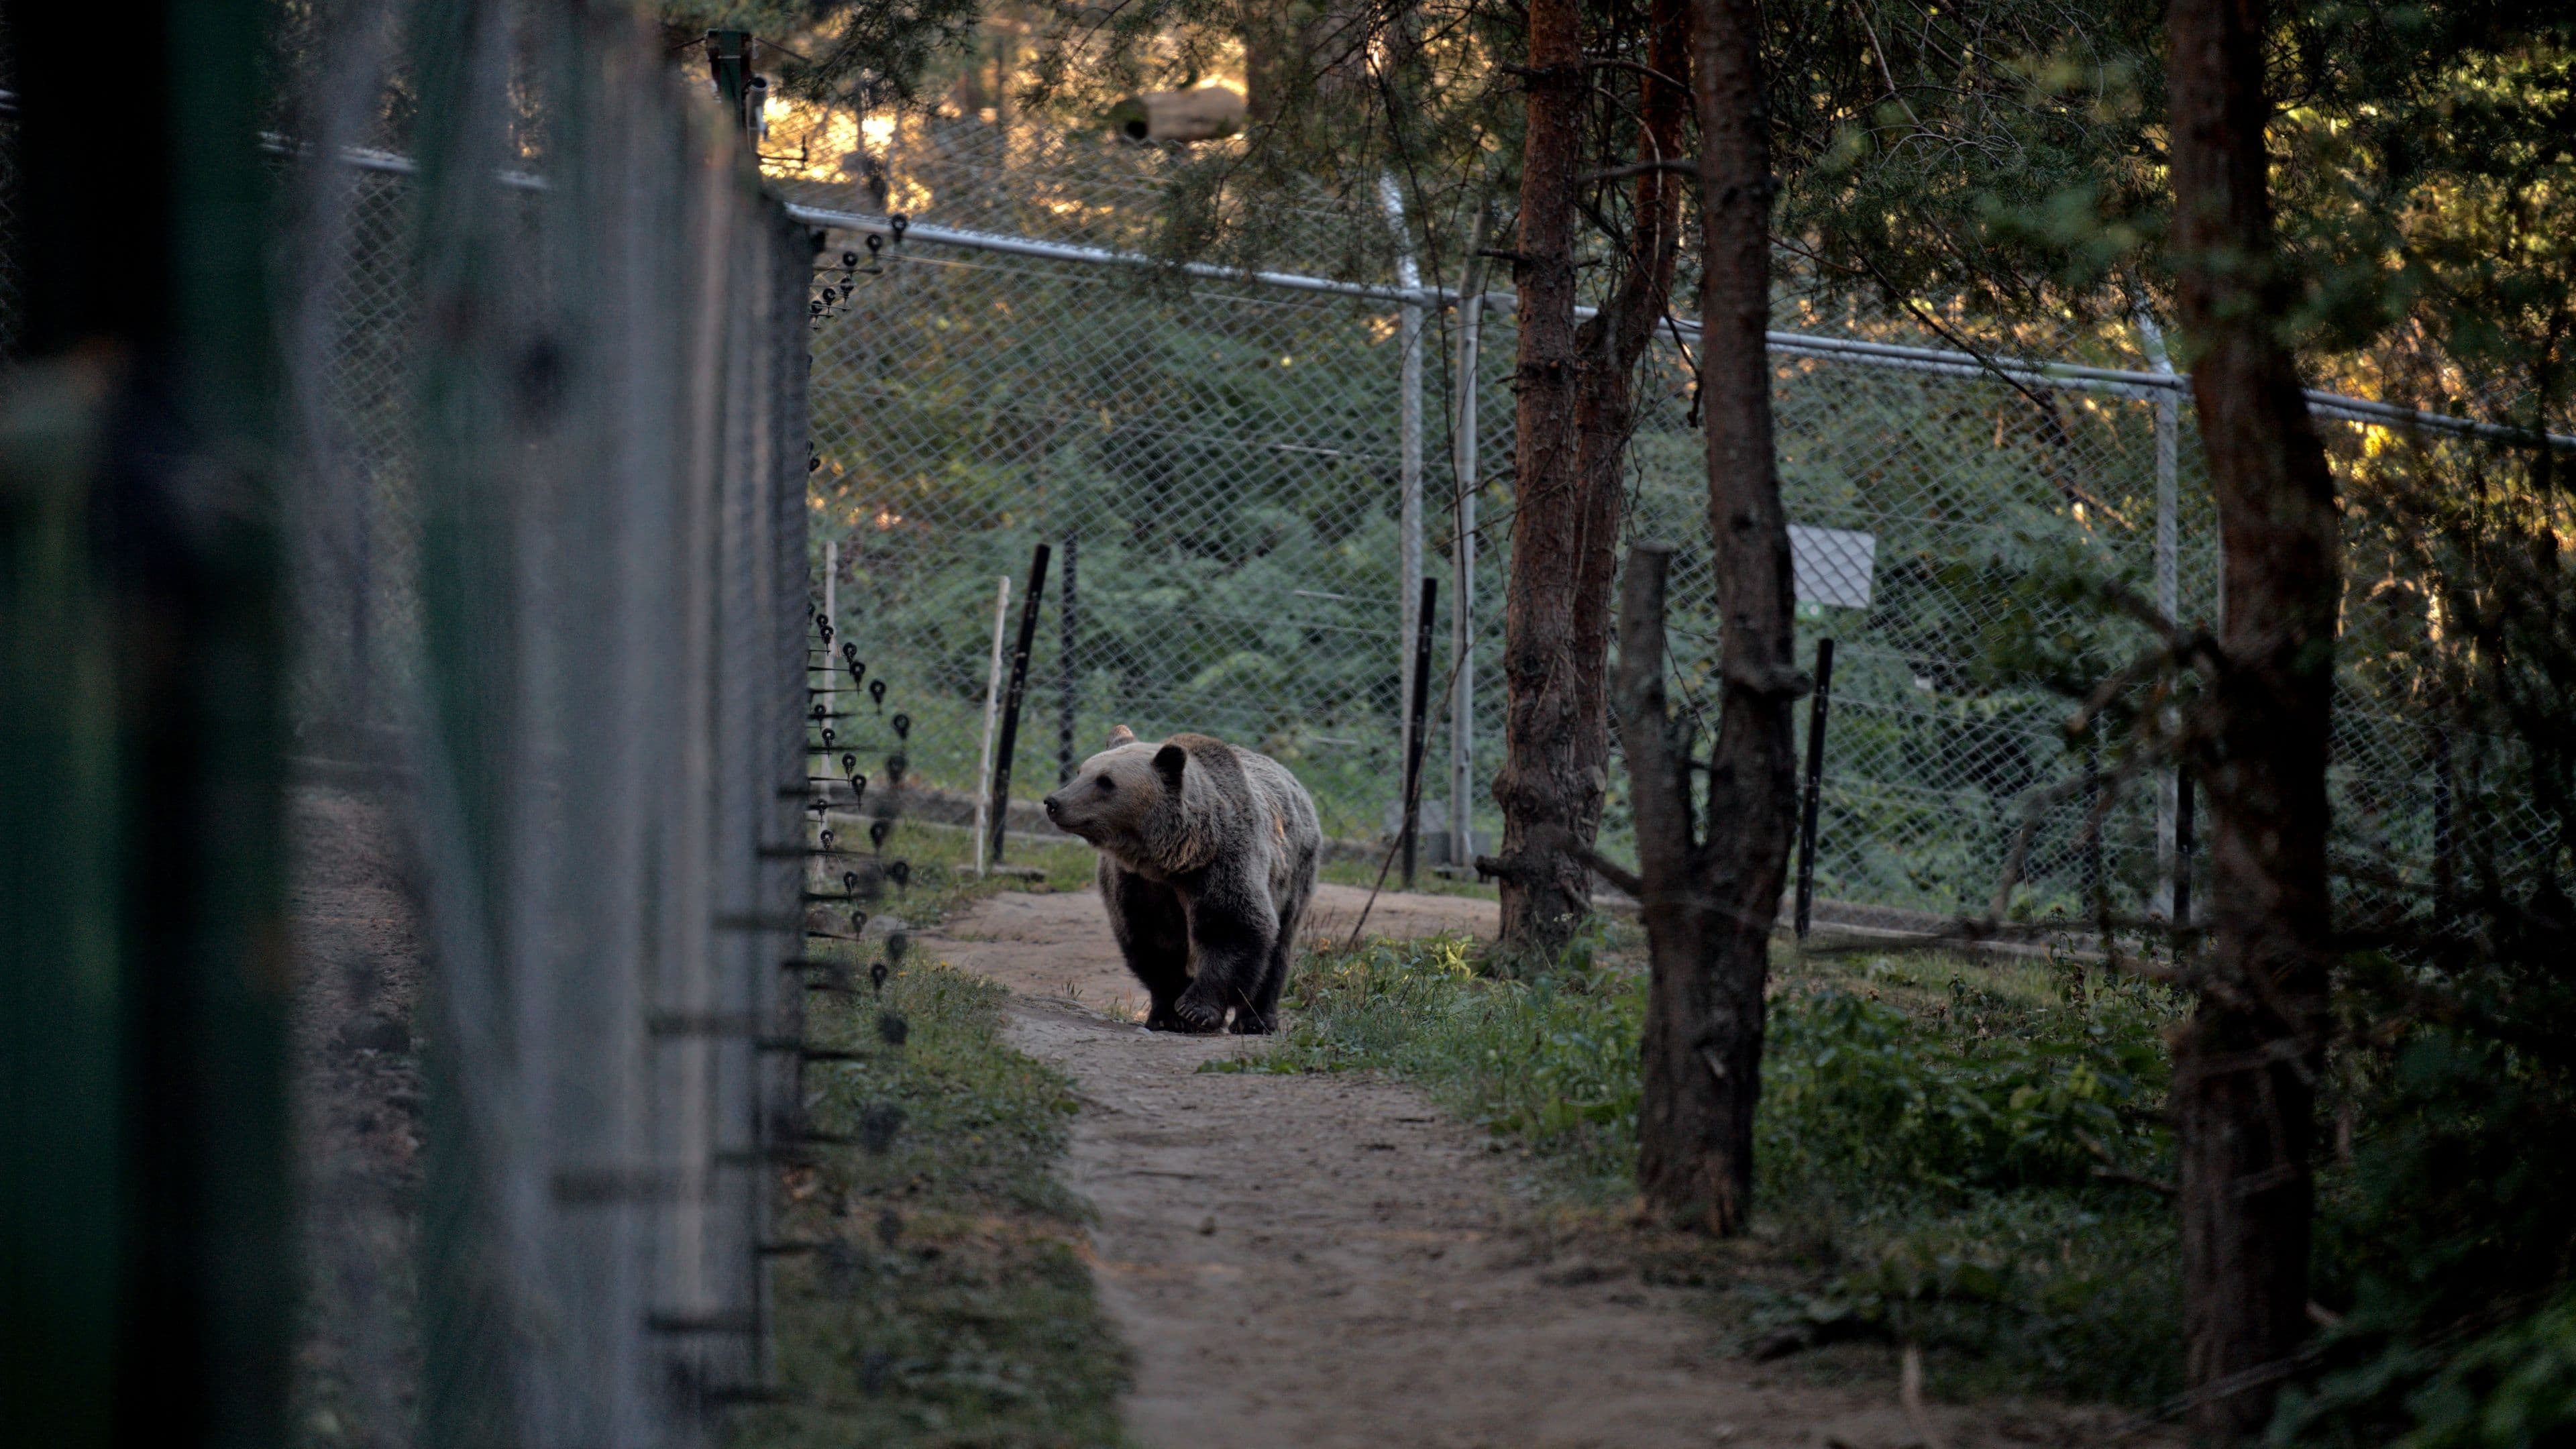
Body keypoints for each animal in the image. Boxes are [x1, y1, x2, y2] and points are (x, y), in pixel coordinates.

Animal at [1040, 726, 1321, 1034]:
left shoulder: (1223, 863)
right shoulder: (1136, 882)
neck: (1172, 858)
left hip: (1294, 874)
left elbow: (1232, 926)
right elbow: (1155, 942)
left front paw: (1196, 1010)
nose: (1054, 802)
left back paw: (1256, 1022)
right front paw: (1168, 1015)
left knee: (1277, 950)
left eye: (1106, 781)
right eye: (1081, 771)